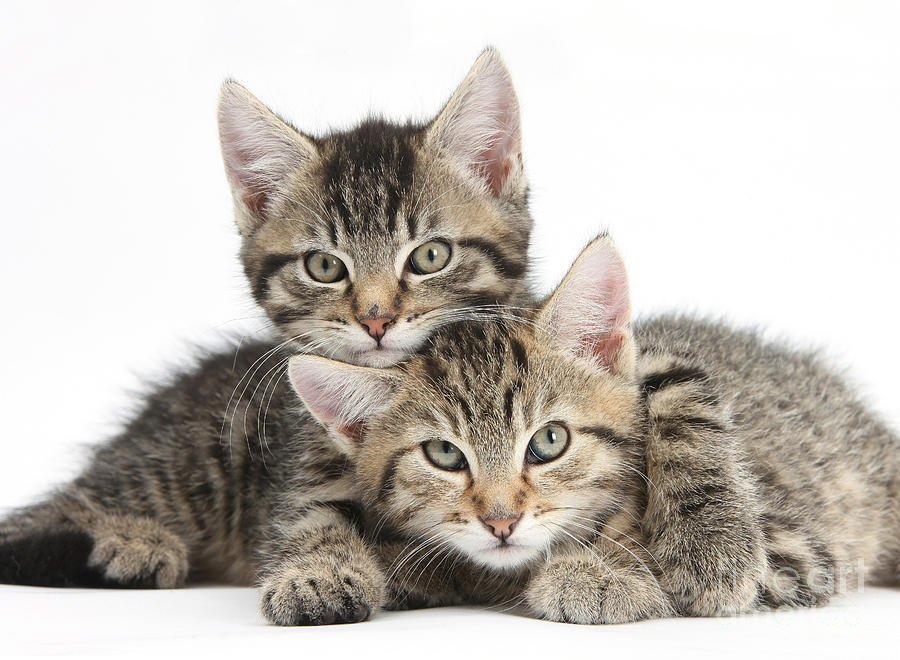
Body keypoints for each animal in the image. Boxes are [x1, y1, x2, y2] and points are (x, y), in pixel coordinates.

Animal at [3, 236, 896, 624]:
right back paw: (126, 543)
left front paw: (599, 571)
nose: (500, 518)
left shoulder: (796, 543)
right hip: (190, 470)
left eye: (548, 442)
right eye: (443, 455)